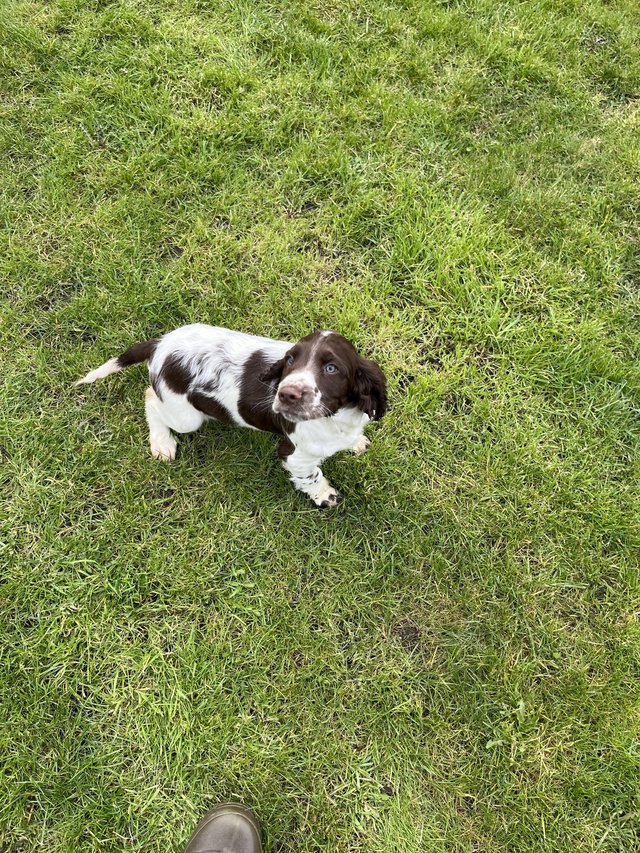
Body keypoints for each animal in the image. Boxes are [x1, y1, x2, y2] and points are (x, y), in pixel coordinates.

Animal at [75, 324, 384, 506]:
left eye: (332, 368)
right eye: (290, 361)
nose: (287, 394)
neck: (332, 417)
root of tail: (160, 345)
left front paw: (356, 442)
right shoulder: (295, 455)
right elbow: (312, 476)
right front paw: (324, 495)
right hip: (186, 416)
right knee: (150, 397)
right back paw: (162, 443)